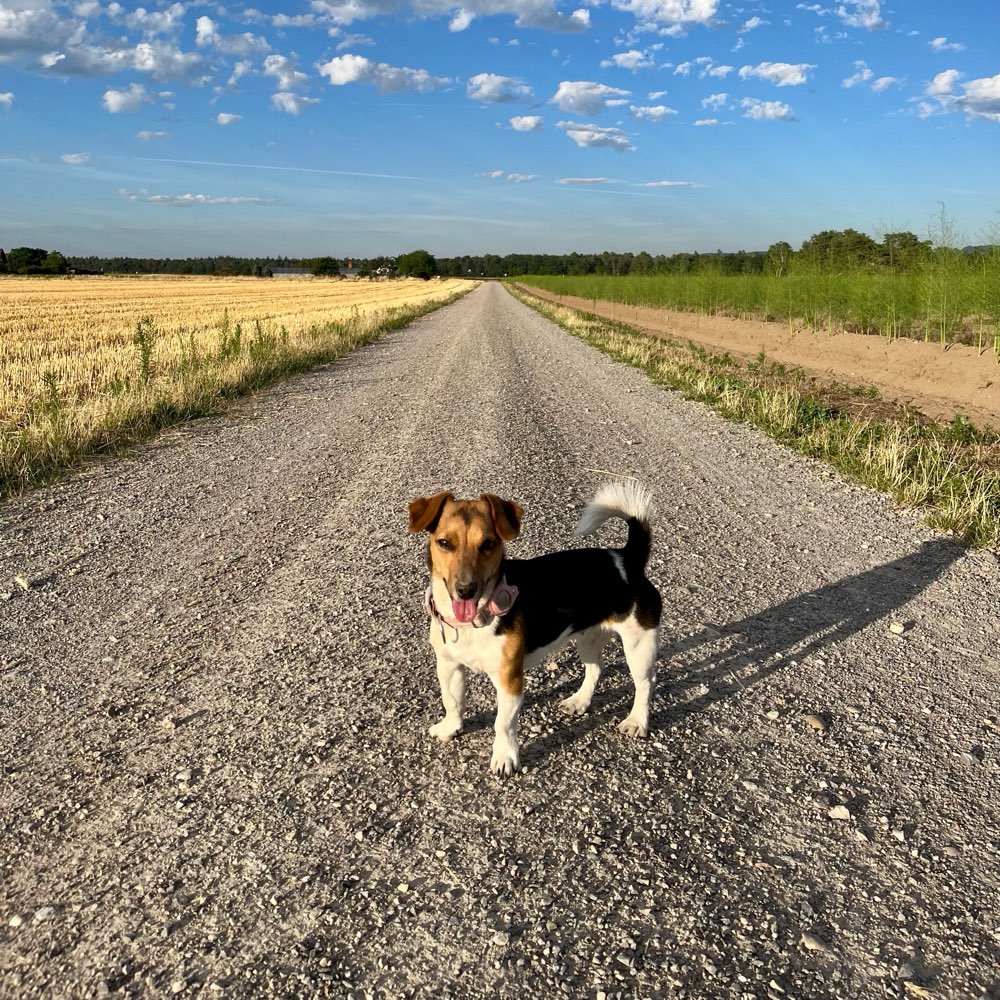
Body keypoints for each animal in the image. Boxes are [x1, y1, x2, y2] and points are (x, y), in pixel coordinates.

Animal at [408, 480, 664, 776]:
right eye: (444, 543)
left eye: (488, 544)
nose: (465, 590)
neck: (476, 619)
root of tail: (627, 559)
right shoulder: (449, 665)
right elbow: (452, 702)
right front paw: (451, 728)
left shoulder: (509, 680)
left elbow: (503, 724)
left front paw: (504, 757)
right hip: (588, 638)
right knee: (595, 669)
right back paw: (580, 701)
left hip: (638, 646)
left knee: (645, 683)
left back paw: (637, 721)